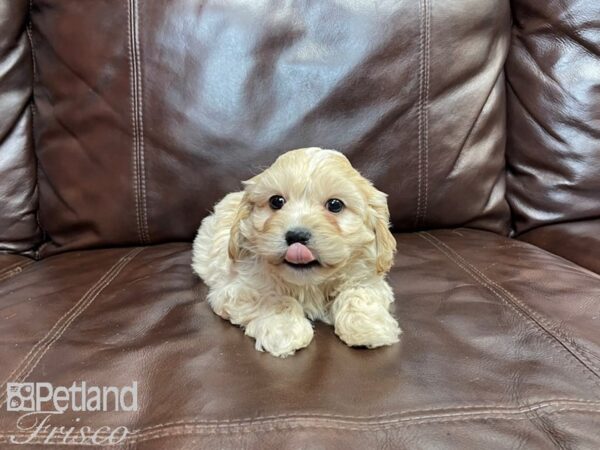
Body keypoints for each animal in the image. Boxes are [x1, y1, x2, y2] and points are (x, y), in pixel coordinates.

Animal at [191, 148, 398, 358]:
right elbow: (273, 298)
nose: (297, 236)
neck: (309, 283)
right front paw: (285, 331)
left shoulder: (369, 278)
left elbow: (357, 293)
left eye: (335, 205)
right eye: (276, 201)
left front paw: (367, 327)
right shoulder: (235, 289)